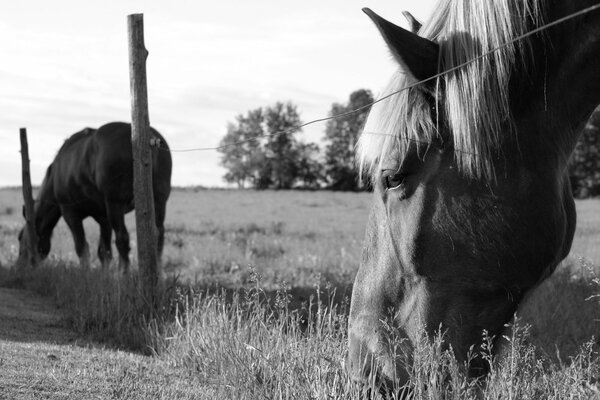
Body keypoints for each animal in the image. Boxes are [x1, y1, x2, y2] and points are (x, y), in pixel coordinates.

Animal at [17, 122, 172, 272]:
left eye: (20, 238)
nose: (19, 266)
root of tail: (149, 138)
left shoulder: (70, 214)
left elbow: (81, 247)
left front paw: (86, 273)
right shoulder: (104, 219)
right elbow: (104, 252)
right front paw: (105, 276)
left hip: (115, 205)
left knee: (122, 238)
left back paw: (123, 274)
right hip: (158, 202)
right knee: (158, 234)